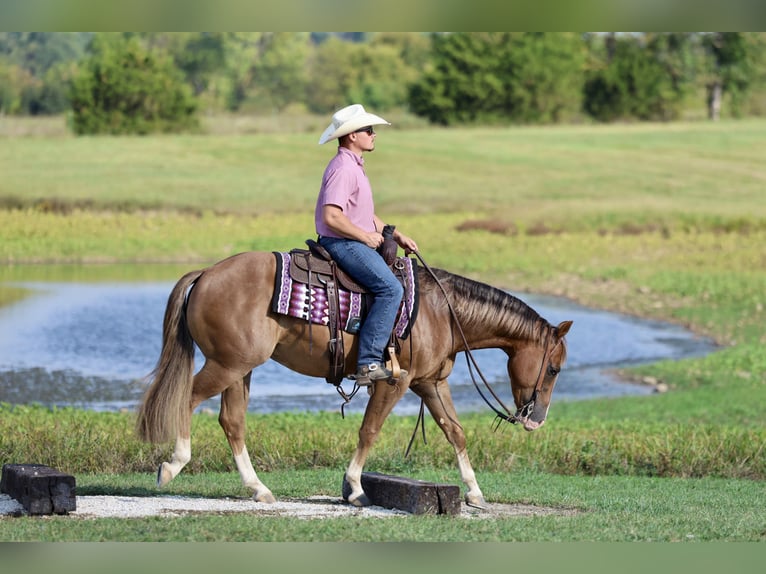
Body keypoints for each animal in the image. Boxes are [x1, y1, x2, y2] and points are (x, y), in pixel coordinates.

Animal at [136, 250, 572, 508]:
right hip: (228, 365)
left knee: (232, 421)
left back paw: (258, 488)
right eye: (553, 368)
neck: (441, 312)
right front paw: (355, 488)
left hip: (240, 368)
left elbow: (455, 432)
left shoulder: (431, 383)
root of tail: (207, 273)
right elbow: (370, 430)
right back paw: (172, 465)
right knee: (187, 400)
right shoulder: (394, 382)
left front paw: (476, 493)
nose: (536, 420)